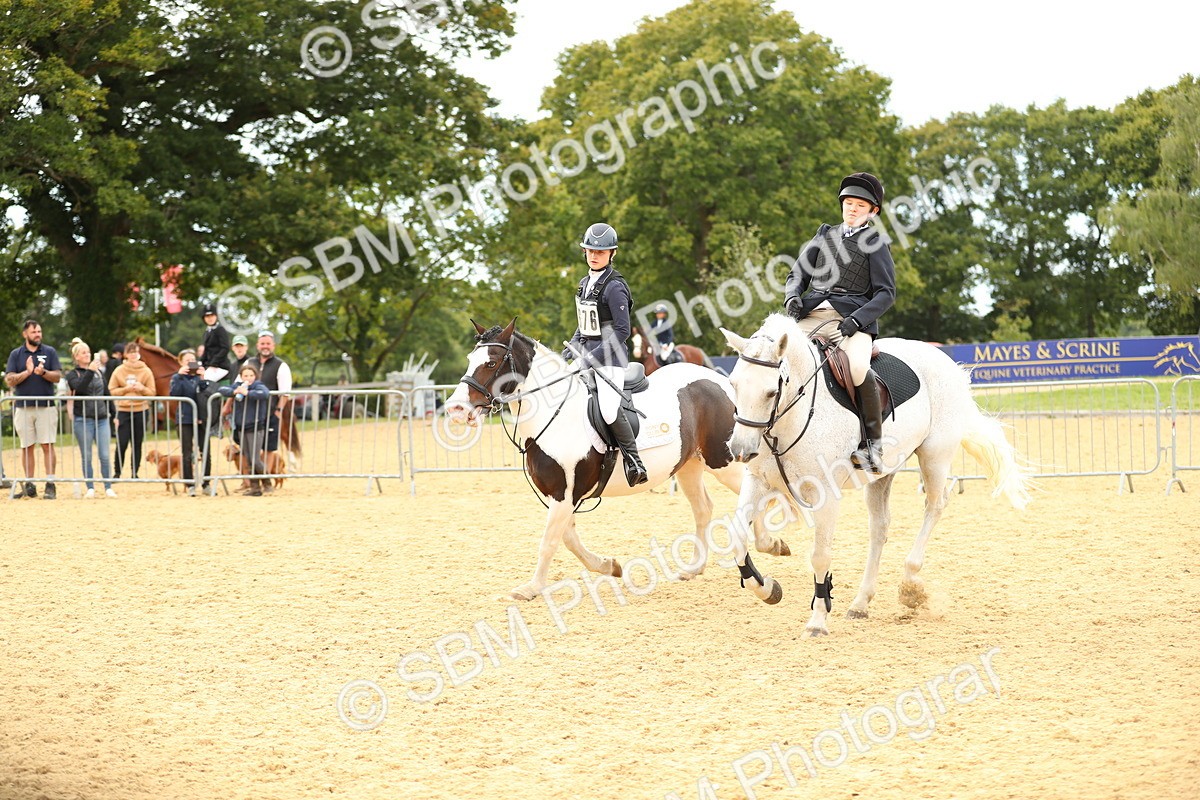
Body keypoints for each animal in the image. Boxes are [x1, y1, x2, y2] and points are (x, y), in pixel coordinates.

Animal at [444, 319, 790, 603]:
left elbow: (550, 541)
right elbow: (568, 537)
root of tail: (722, 381)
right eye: (470, 360)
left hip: (724, 461)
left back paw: (769, 544)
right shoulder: (562, 494)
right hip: (689, 465)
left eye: (491, 362)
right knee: (704, 508)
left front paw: (531, 588)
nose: (456, 409)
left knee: (756, 497)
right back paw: (694, 567)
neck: (554, 413)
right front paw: (608, 566)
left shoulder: (565, 493)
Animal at [721, 314, 1033, 636]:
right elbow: (737, 536)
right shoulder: (758, 482)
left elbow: (820, 556)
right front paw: (768, 588)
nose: (740, 450)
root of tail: (948, 363)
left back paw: (910, 586)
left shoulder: (825, 494)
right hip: (882, 473)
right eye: (733, 384)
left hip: (934, 456)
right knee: (880, 528)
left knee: (935, 505)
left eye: (771, 392)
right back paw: (861, 603)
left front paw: (818, 621)